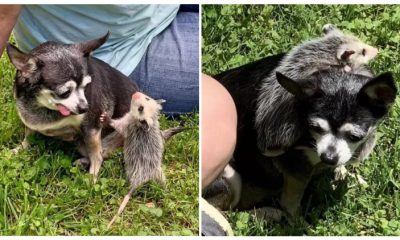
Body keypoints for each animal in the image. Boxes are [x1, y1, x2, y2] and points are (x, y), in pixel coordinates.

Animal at [5, 32, 138, 180]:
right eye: (65, 93)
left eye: (86, 86)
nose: (85, 108)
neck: (43, 107)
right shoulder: (30, 122)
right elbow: (28, 137)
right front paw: (18, 149)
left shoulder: (91, 129)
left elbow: (96, 157)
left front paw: (91, 179)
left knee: (101, 154)